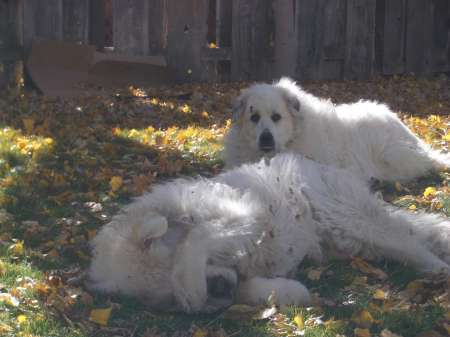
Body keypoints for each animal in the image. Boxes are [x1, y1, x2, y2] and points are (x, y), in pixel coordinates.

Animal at [88, 154, 450, 312]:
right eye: (167, 299)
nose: (219, 290)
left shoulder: (248, 215)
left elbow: (198, 239)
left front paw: (193, 288)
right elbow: (253, 288)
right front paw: (292, 292)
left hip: (351, 218)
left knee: (408, 241)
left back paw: (438, 268)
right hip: (352, 241)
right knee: (411, 236)